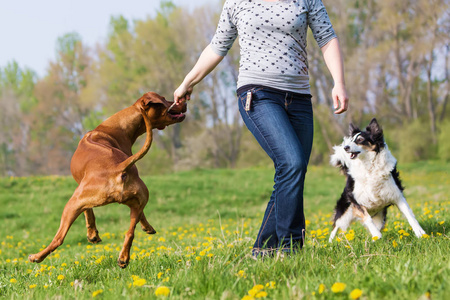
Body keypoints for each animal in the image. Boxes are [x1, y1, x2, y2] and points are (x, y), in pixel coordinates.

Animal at [28, 91, 186, 268]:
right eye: (165, 99)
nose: (183, 101)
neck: (113, 128)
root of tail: (118, 168)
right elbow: (138, 216)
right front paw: (147, 227)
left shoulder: (80, 190)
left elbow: (88, 212)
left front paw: (92, 234)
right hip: (138, 199)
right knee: (130, 232)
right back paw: (123, 258)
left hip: (71, 204)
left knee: (58, 239)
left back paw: (37, 256)